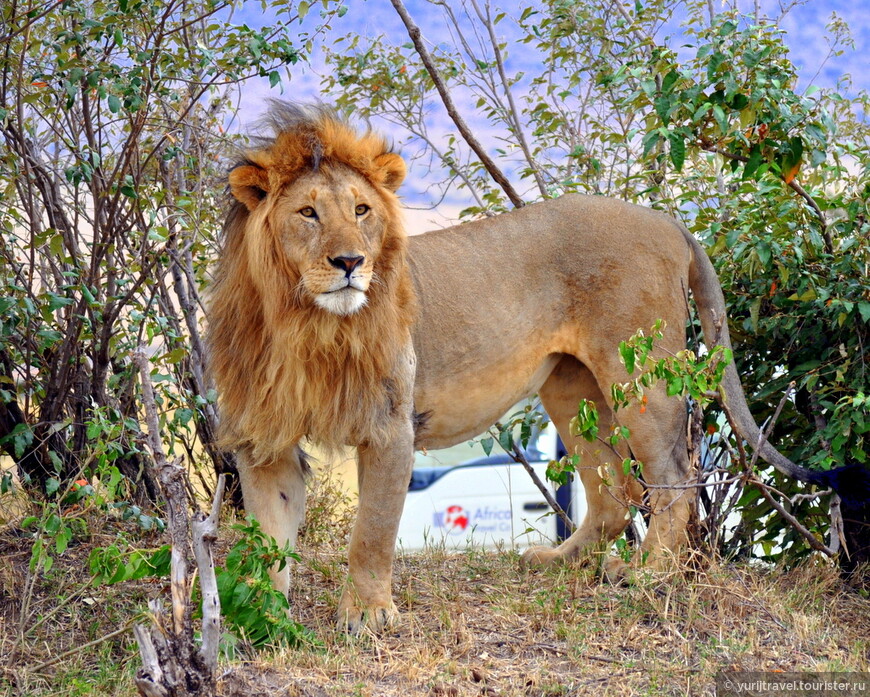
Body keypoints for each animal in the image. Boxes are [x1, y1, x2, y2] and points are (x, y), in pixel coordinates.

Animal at [209, 102, 852, 632]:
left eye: (362, 210)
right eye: (308, 213)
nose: (351, 262)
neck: (307, 324)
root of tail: (667, 220)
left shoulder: (390, 426)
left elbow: (371, 532)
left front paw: (367, 616)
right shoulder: (265, 442)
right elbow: (269, 536)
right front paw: (262, 616)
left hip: (638, 376)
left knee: (673, 480)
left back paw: (649, 575)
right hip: (571, 387)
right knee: (613, 489)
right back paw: (561, 561)